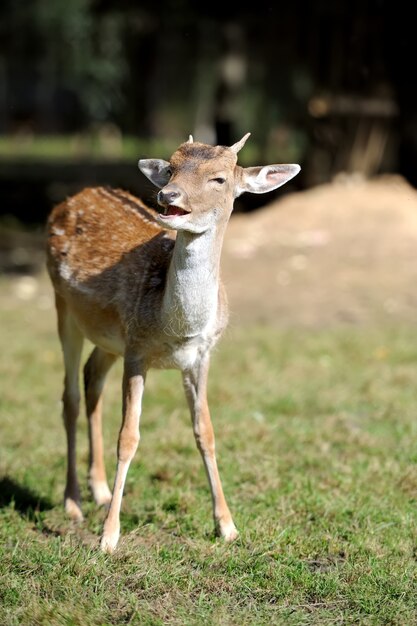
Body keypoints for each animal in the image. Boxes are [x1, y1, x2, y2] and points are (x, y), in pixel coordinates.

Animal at [45, 133, 300, 552]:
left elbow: (206, 432)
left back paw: (99, 490)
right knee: (69, 398)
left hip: (108, 337)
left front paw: (227, 526)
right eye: (171, 169)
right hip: (64, 306)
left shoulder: (201, 356)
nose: (168, 195)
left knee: (92, 378)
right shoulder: (136, 350)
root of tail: (74, 196)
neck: (176, 328)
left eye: (219, 179)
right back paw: (73, 503)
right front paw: (109, 537)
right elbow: (128, 437)